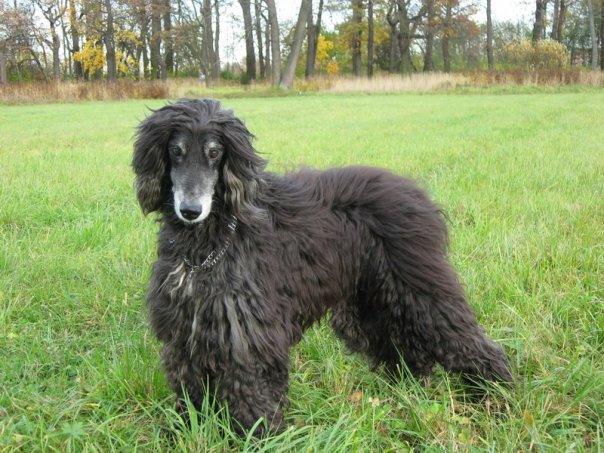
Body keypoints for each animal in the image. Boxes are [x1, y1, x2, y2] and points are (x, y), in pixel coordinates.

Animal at [132, 98, 512, 434]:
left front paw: (261, 438)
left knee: (469, 343)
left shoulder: (249, 336)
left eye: (214, 152)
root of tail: (419, 196)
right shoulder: (187, 334)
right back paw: (406, 395)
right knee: (407, 353)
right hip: (374, 302)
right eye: (176, 151)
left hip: (419, 290)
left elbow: (255, 400)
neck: (206, 246)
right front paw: (186, 430)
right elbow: (193, 396)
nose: (190, 210)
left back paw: (498, 396)